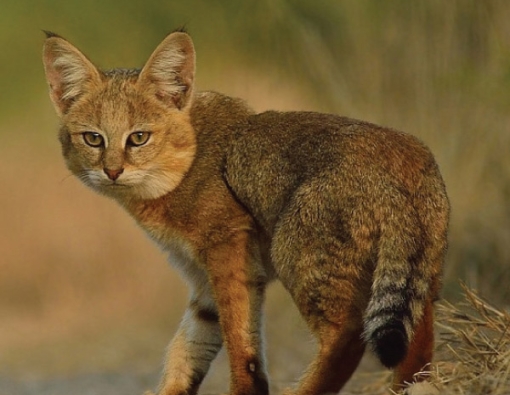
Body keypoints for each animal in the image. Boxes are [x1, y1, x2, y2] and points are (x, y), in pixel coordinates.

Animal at [43, 29, 450, 394]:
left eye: (138, 138)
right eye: (93, 138)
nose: (112, 171)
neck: (189, 158)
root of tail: (407, 155)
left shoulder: (229, 255)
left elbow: (240, 343)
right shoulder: (202, 281)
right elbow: (187, 349)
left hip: (298, 259)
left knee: (349, 337)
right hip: (416, 281)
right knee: (417, 348)